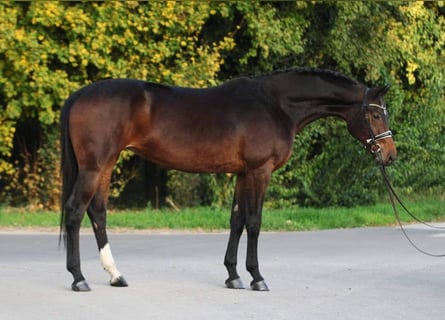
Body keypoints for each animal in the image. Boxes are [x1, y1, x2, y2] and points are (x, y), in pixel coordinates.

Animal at [59, 68, 396, 292]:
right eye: (376, 115)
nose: (390, 155)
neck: (275, 104)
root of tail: (79, 94)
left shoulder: (242, 173)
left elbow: (236, 221)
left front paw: (233, 276)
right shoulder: (260, 171)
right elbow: (255, 222)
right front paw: (257, 277)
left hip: (106, 165)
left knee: (97, 212)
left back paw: (115, 275)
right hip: (94, 166)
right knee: (75, 211)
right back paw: (78, 278)